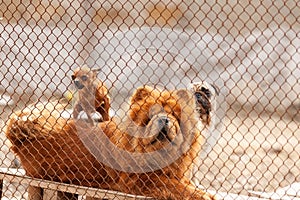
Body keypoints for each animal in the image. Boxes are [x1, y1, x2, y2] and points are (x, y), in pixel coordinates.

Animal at [5, 85, 216, 199]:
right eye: (150, 115)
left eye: (174, 116)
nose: (163, 119)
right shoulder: (142, 181)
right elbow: (178, 188)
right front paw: (204, 195)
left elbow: (185, 184)